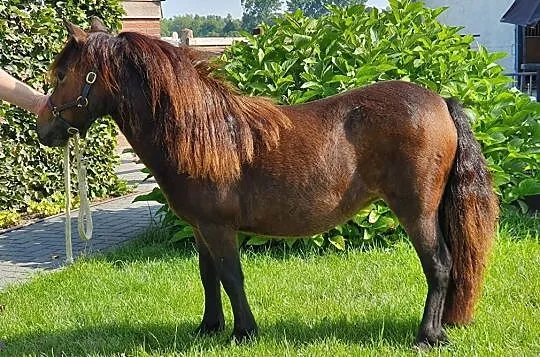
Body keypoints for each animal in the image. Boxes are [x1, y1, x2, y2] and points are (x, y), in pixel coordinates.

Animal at [37, 18, 498, 348]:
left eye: (61, 75)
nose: (43, 130)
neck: (202, 132)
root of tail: (442, 101)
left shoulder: (220, 228)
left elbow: (231, 276)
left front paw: (244, 333)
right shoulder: (201, 228)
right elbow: (208, 276)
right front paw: (208, 328)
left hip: (416, 211)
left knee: (439, 264)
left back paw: (427, 336)